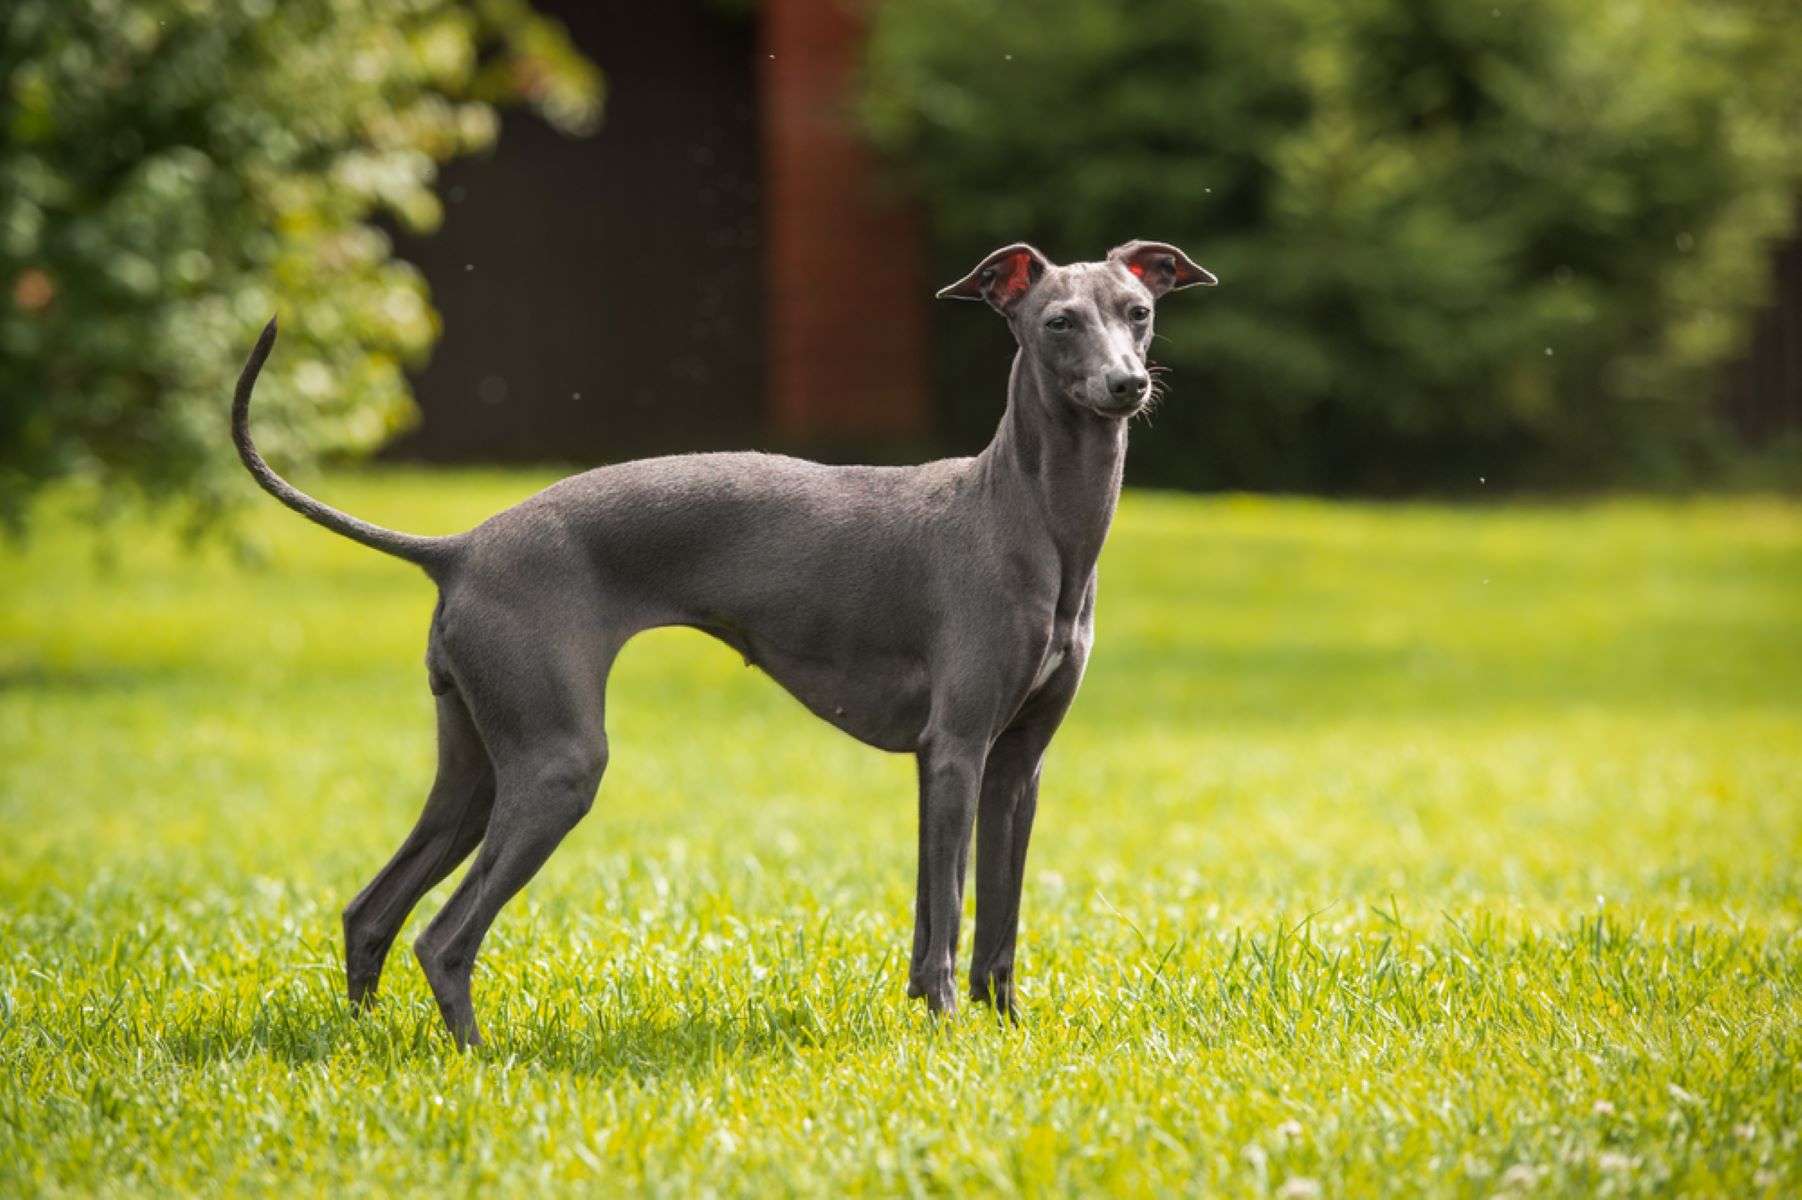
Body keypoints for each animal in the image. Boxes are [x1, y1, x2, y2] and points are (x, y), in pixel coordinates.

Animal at [228, 237, 1210, 1045]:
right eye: (1058, 322)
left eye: (1139, 311)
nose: (1128, 386)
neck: (1027, 518)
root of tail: (460, 546)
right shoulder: (956, 751)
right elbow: (947, 916)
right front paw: (943, 1032)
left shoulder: (1016, 768)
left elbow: (992, 925)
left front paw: (1004, 1031)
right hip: (556, 767)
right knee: (441, 936)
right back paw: (475, 1060)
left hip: (476, 767)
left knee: (372, 911)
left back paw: (366, 1044)